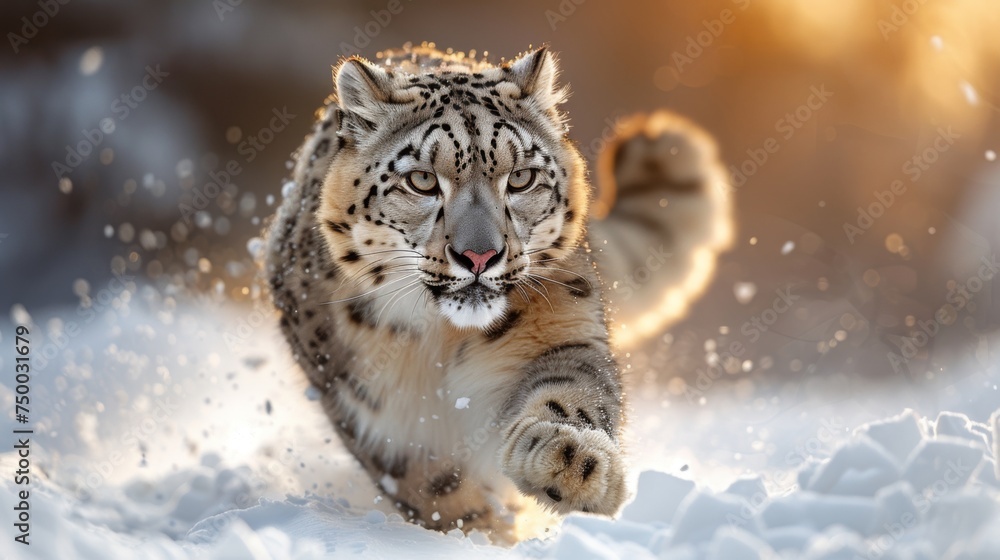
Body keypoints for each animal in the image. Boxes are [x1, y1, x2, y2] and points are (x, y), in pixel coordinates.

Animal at [264, 43, 732, 542]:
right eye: (422, 181)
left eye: (522, 177)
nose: (479, 255)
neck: (440, 342)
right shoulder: (371, 408)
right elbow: (430, 482)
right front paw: (478, 533)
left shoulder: (562, 324)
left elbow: (573, 392)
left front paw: (570, 465)